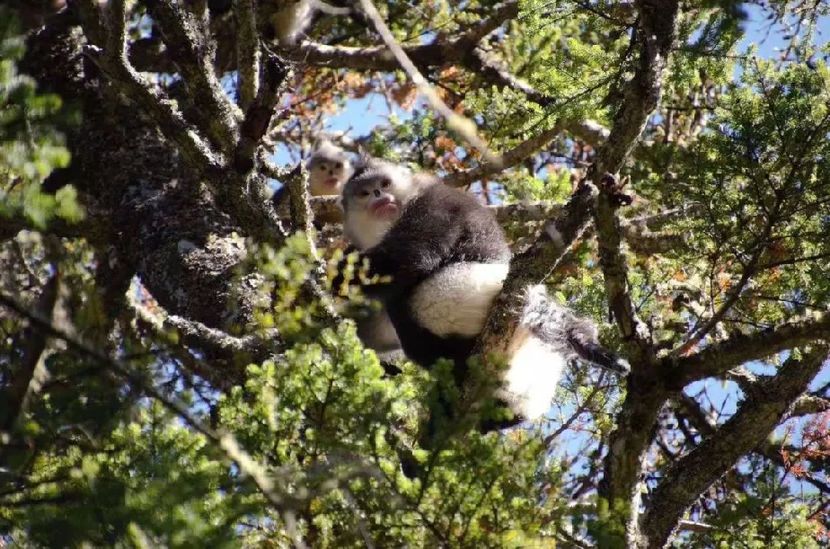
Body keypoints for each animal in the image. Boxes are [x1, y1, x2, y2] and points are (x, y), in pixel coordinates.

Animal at [338, 159, 629, 429]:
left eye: (384, 184)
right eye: (364, 193)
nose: (378, 194)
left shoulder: (437, 204)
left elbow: (410, 258)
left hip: (465, 289)